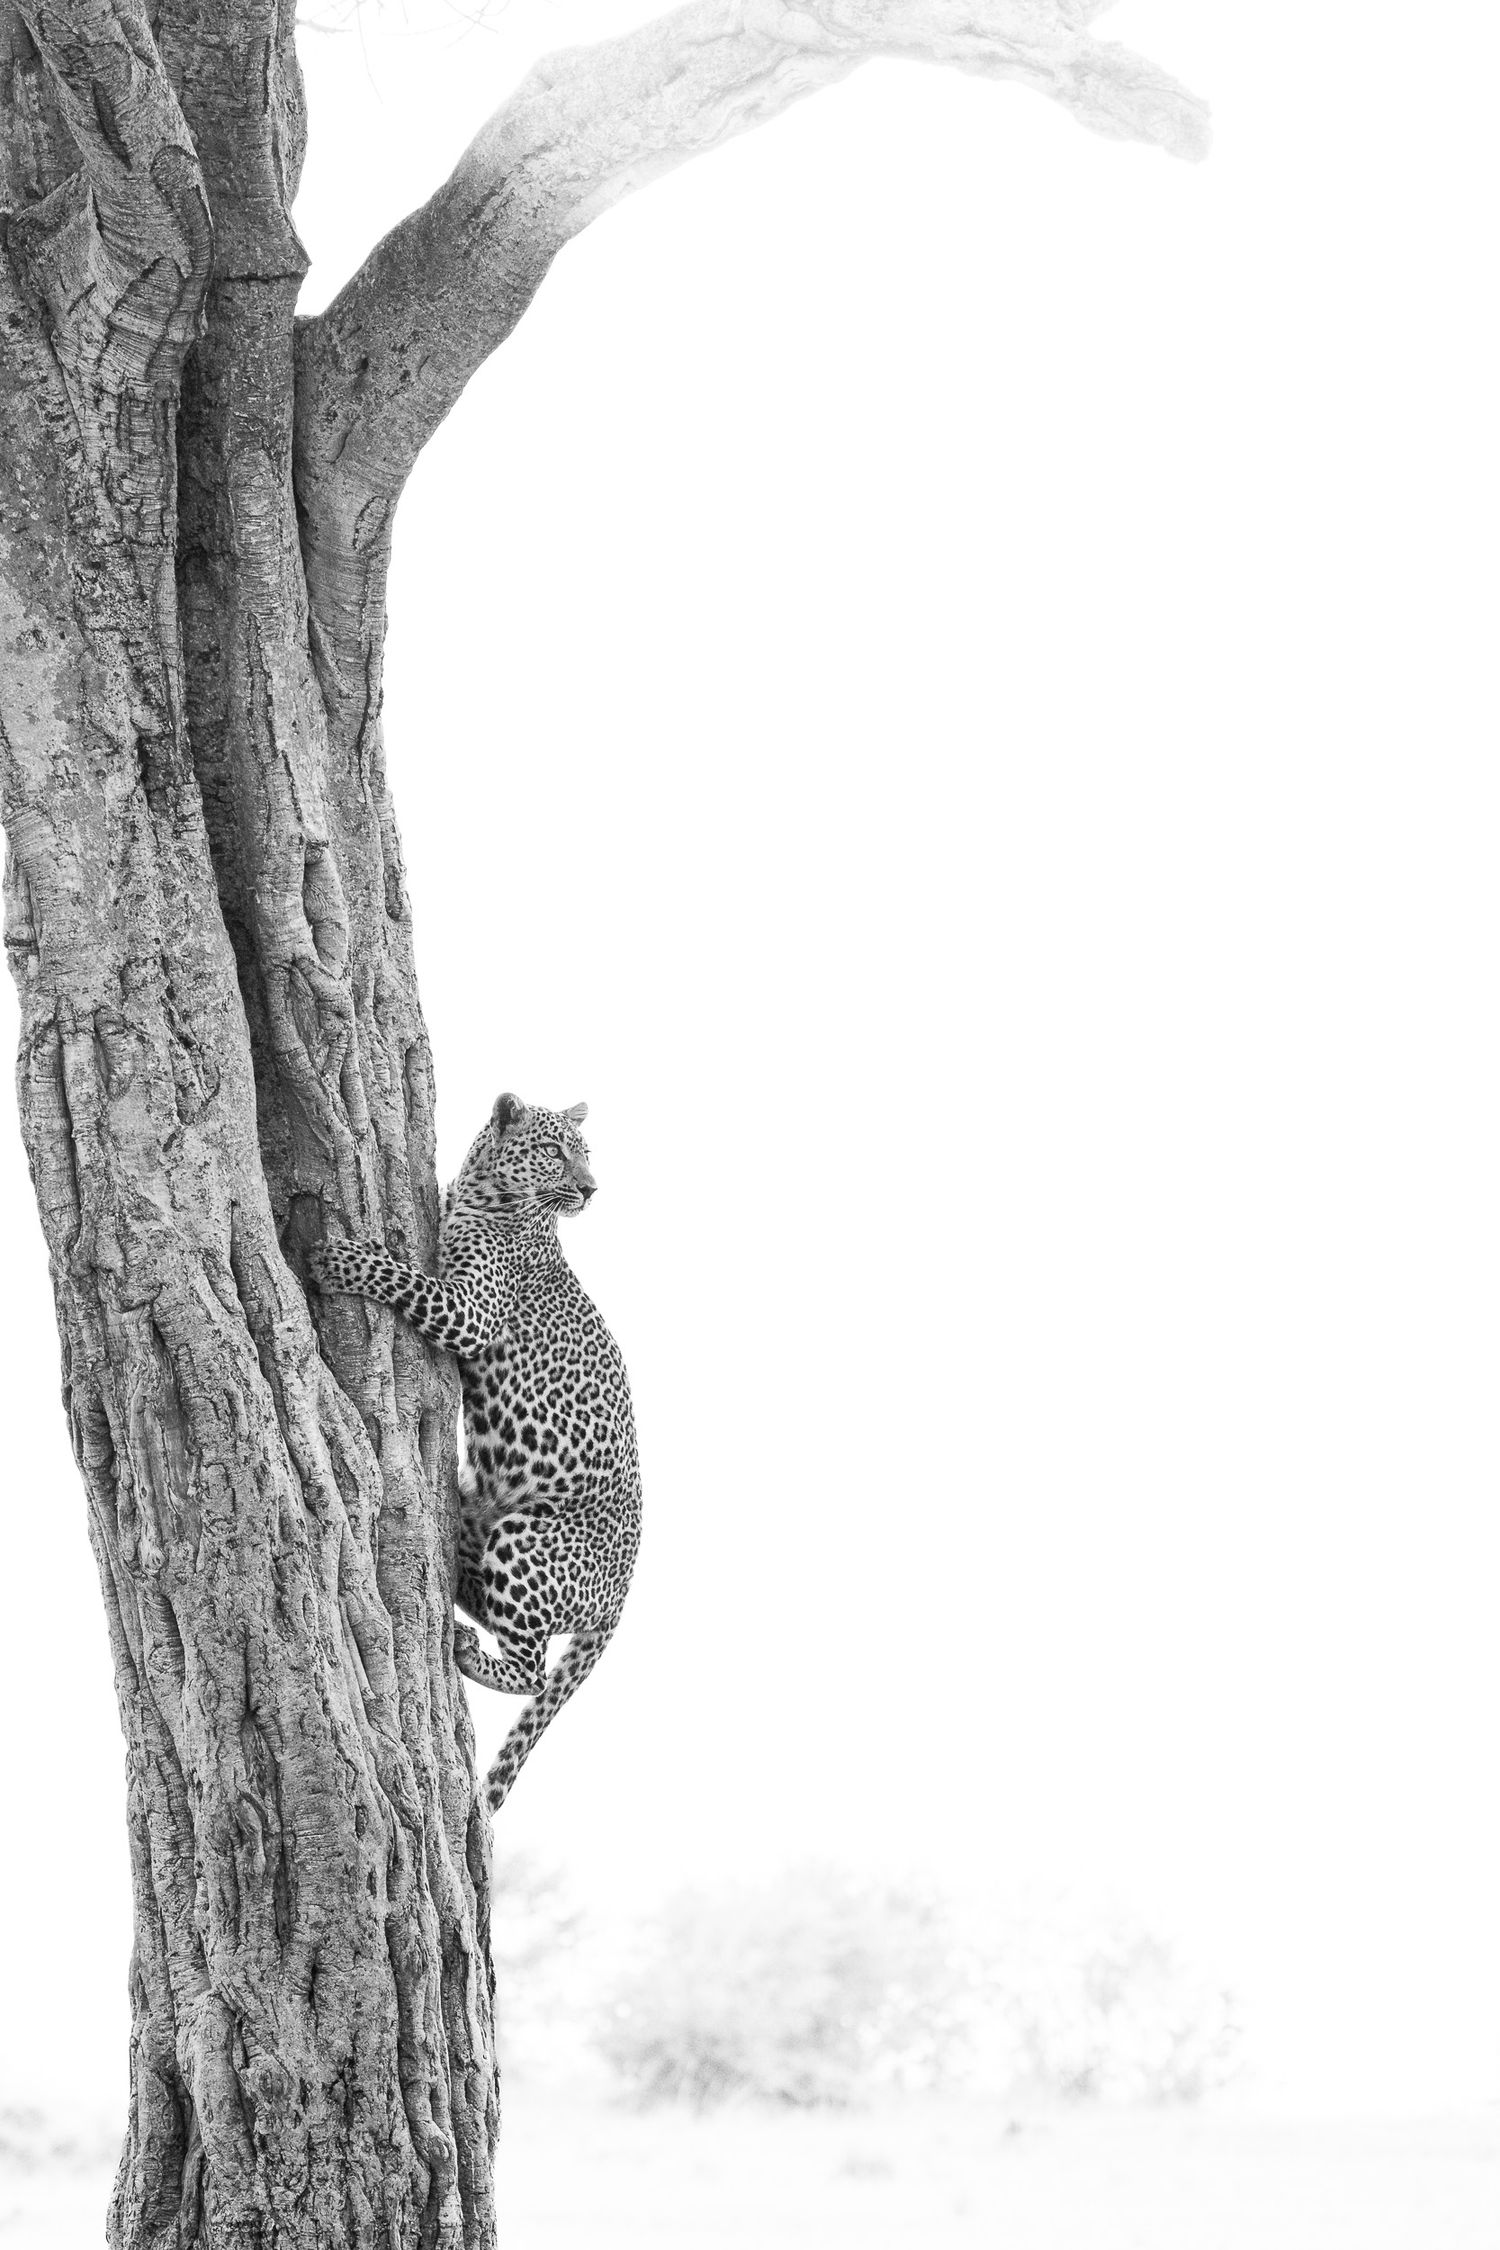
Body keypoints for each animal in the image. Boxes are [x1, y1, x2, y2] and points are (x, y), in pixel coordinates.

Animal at [308, 1092, 641, 1813]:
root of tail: (622, 1598)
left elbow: (402, 1276)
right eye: (555, 1152)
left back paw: (466, 1656)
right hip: (477, 1526)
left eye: (585, 1154)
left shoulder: (470, 1313)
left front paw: (339, 1260)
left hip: (526, 1539)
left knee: (533, 1669)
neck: (486, 1192)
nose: (591, 1189)